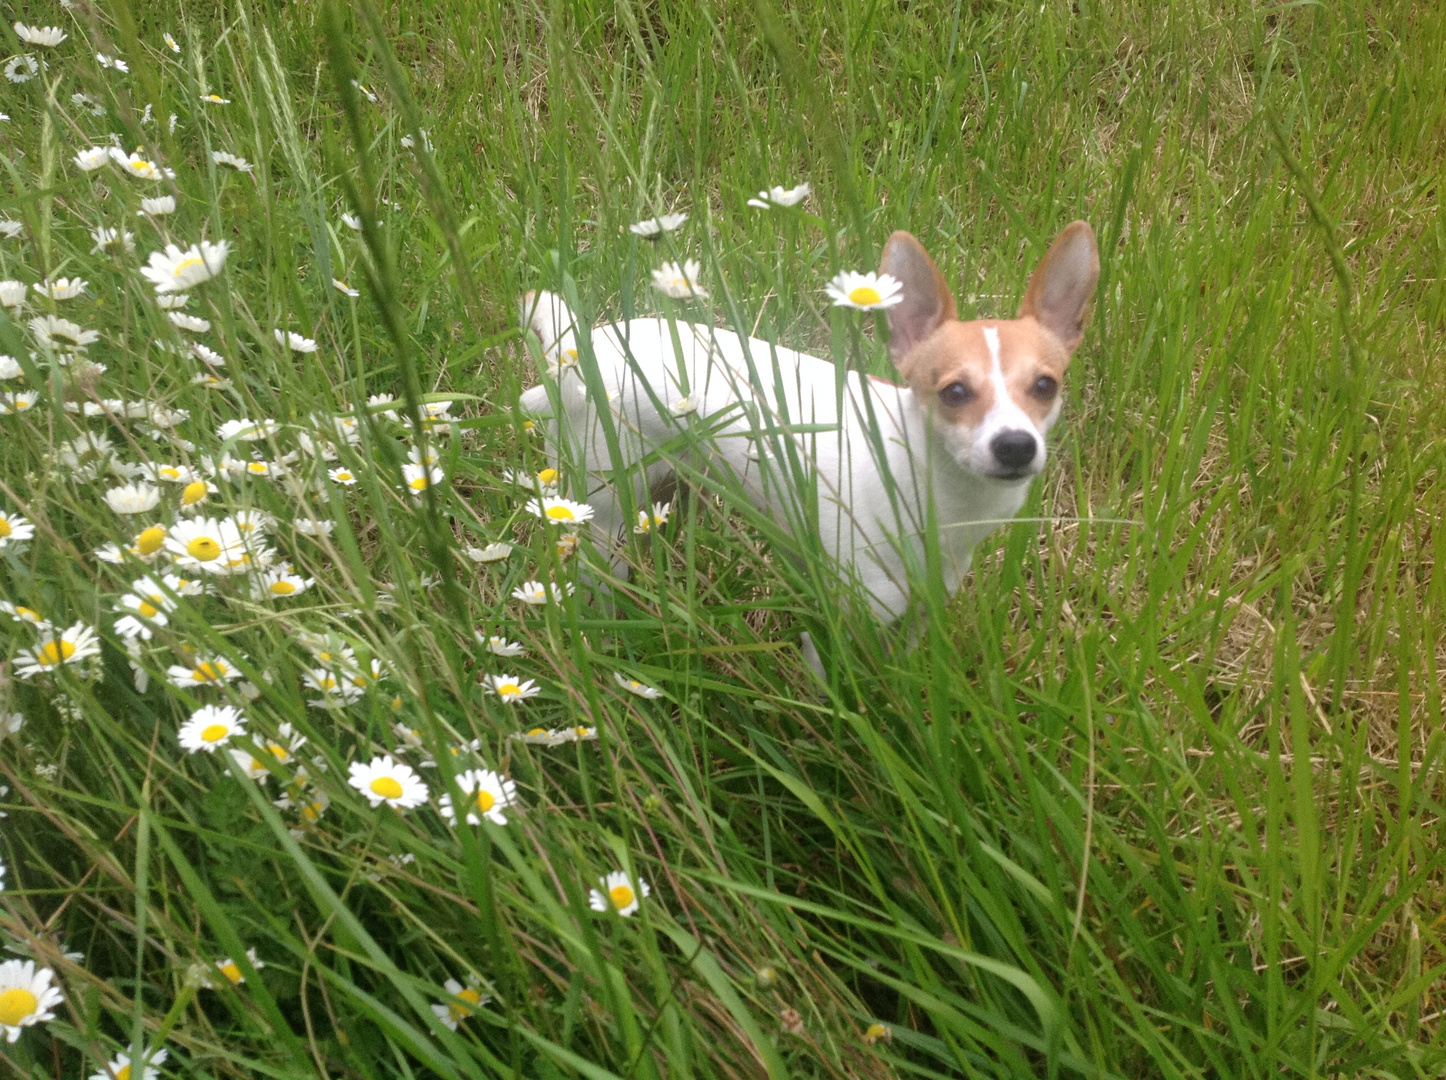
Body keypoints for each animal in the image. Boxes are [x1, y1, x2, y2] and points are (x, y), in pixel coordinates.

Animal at [520, 224, 1093, 633]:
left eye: (1046, 386)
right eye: (954, 392)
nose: (1016, 446)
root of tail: (577, 351)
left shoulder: (923, 612)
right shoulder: (857, 618)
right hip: (602, 514)